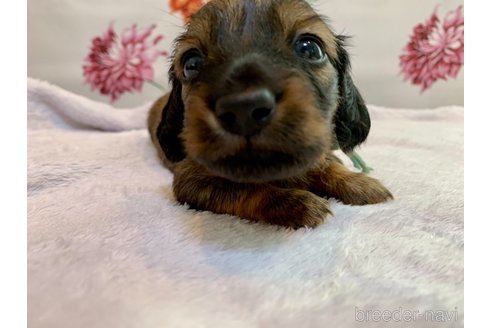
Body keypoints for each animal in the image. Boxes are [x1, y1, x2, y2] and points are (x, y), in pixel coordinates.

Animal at [148, 0, 394, 228]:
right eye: (191, 63)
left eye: (310, 48)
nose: (244, 108)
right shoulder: (191, 179)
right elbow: (245, 189)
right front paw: (297, 203)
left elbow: (329, 165)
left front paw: (359, 182)